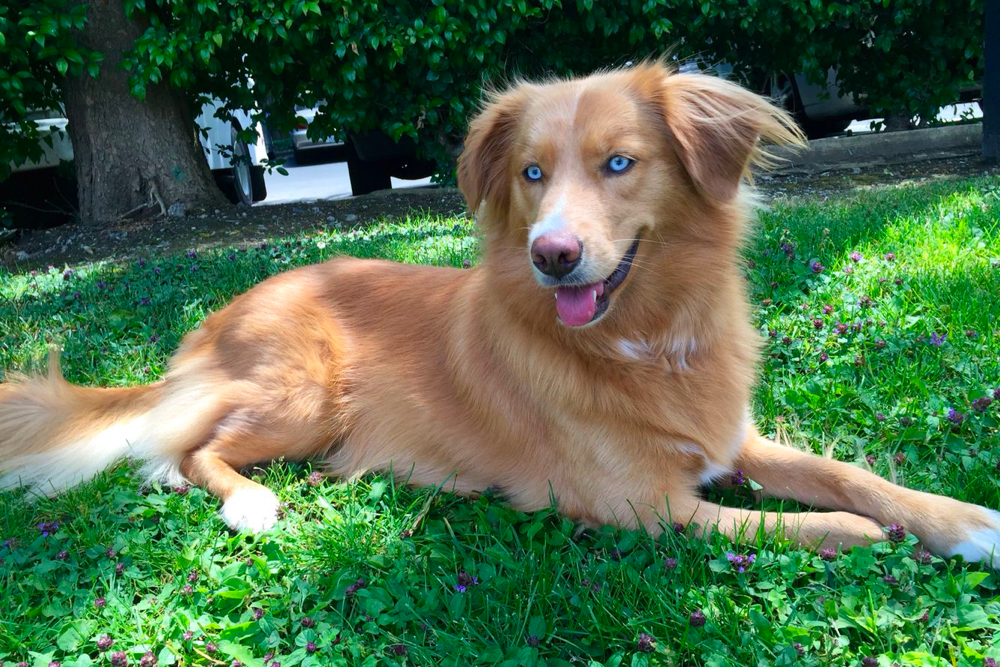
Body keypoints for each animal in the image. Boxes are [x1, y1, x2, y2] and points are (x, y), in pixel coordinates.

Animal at [1, 61, 1000, 568]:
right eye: (530, 172)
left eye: (619, 163)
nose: (551, 253)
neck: (644, 340)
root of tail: (218, 318)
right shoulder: (640, 504)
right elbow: (788, 522)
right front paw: (869, 537)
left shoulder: (728, 437)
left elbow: (847, 475)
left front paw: (965, 522)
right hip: (302, 390)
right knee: (184, 449)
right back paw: (249, 498)